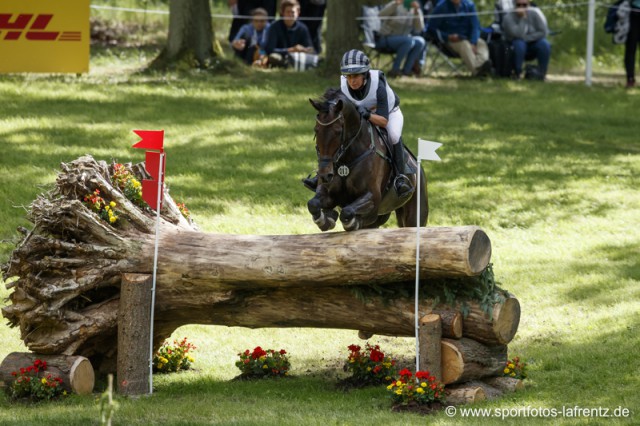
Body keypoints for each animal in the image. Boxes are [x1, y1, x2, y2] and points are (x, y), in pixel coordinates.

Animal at [308, 88, 428, 231]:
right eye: (316, 130)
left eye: (338, 131)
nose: (325, 175)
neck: (347, 159)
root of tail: (416, 164)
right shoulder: (328, 192)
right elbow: (313, 203)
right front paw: (327, 218)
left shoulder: (372, 198)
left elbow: (347, 212)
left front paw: (351, 222)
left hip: (414, 214)